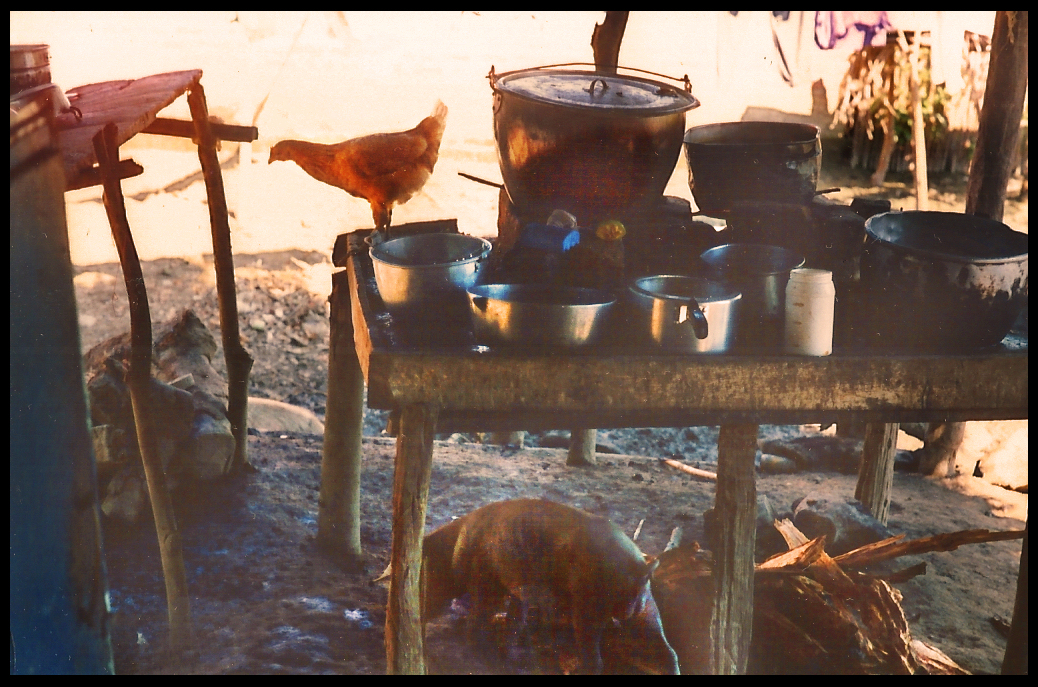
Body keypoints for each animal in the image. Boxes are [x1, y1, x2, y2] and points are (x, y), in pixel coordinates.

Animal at [421, 498, 680, 676]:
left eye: (427, 572)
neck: (455, 546)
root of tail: (641, 569)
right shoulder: (518, 593)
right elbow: (514, 624)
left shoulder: (488, 586)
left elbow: (483, 624)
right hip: (645, 612)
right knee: (667, 653)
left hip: (589, 609)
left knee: (595, 658)